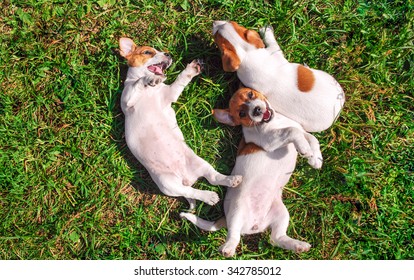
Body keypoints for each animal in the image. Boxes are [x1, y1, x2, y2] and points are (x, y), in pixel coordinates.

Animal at [119, 37, 243, 209]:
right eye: (148, 52)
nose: (168, 54)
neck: (151, 91)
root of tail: (187, 178)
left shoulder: (169, 94)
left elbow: (180, 80)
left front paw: (191, 69)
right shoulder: (127, 100)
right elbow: (138, 83)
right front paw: (149, 79)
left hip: (200, 163)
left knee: (213, 178)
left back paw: (232, 180)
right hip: (167, 184)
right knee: (191, 192)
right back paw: (210, 196)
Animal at [180, 88, 322, 258]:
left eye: (250, 94)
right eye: (242, 114)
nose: (257, 110)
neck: (274, 122)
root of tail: (255, 225)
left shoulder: (300, 130)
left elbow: (311, 137)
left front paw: (315, 159)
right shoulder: (270, 141)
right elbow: (291, 131)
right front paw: (304, 149)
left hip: (282, 213)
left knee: (276, 238)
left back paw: (298, 246)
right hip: (237, 211)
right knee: (234, 235)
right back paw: (228, 248)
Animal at [212, 20, 344, 132]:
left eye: (230, 22)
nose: (213, 22)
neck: (246, 53)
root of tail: (338, 108)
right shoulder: (274, 50)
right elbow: (272, 42)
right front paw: (266, 31)